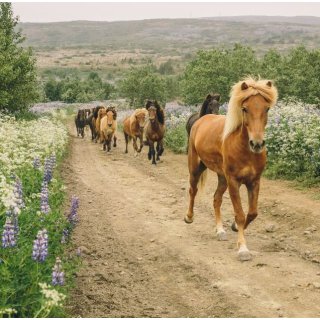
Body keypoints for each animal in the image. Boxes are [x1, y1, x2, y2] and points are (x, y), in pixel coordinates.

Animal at [185, 78, 278, 262]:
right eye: (245, 108)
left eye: (266, 108)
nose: (257, 144)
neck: (244, 149)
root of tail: (202, 119)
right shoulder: (234, 182)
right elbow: (240, 214)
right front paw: (243, 249)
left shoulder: (254, 182)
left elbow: (252, 213)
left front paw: (234, 227)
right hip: (196, 167)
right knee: (193, 190)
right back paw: (189, 217)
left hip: (222, 177)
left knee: (216, 199)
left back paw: (220, 231)